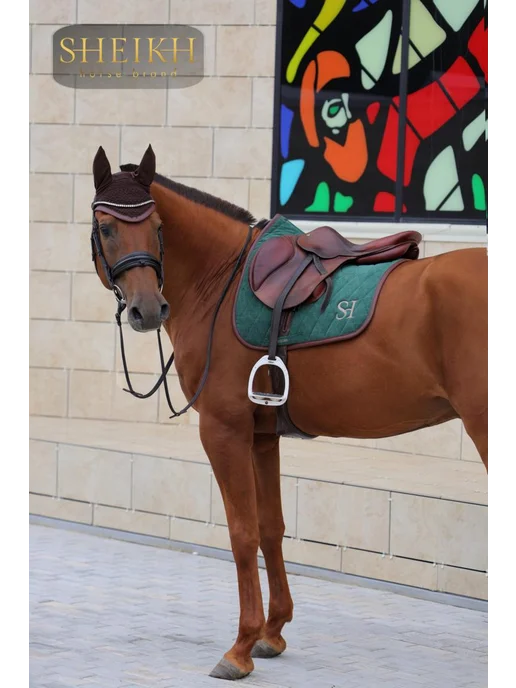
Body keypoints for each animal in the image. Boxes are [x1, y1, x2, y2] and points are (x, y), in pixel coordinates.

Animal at [88, 145, 487, 681]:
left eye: (156, 227)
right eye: (107, 227)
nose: (147, 310)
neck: (221, 279)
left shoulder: (224, 431)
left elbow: (241, 533)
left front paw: (239, 647)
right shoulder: (262, 435)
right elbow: (271, 527)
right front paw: (271, 632)